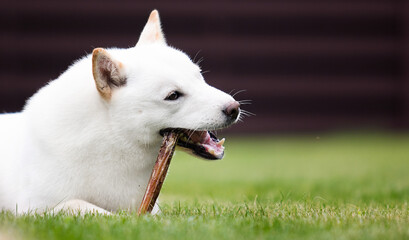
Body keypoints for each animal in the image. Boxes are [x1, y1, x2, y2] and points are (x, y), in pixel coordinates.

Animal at [0, 10, 239, 215]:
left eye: (199, 76)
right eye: (173, 95)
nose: (234, 109)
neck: (110, 137)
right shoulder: (33, 208)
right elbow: (81, 205)